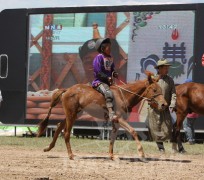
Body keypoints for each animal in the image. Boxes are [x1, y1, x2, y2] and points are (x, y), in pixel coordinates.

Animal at [37, 71, 167, 160]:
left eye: (160, 89)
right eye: (154, 90)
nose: (164, 104)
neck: (124, 95)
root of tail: (67, 90)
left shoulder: (116, 122)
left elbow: (113, 137)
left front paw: (111, 155)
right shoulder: (118, 118)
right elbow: (133, 131)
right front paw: (141, 153)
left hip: (75, 114)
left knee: (59, 126)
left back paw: (48, 148)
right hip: (71, 114)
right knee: (67, 133)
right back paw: (71, 155)